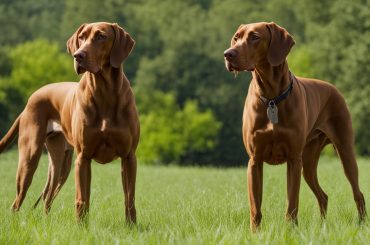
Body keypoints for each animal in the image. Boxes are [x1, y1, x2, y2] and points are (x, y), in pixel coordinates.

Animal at [0, 22, 139, 223]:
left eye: (101, 36)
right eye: (81, 37)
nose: (78, 55)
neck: (104, 92)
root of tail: (30, 100)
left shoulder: (128, 157)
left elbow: (129, 199)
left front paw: (131, 226)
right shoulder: (83, 158)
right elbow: (82, 199)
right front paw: (82, 227)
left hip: (61, 162)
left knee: (47, 196)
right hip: (29, 156)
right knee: (18, 200)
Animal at [224, 22, 366, 232]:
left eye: (255, 37)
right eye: (236, 37)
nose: (228, 54)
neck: (272, 97)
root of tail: (334, 88)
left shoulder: (293, 160)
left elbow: (292, 204)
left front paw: (290, 232)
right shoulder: (255, 161)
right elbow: (255, 207)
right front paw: (255, 234)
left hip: (344, 151)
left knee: (358, 193)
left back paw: (362, 225)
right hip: (308, 162)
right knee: (323, 196)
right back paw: (322, 227)